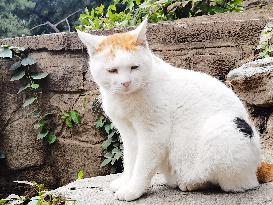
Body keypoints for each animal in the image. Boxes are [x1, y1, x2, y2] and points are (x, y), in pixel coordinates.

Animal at [76, 18, 272, 201]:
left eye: (134, 67)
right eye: (112, 71)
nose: (126, 82)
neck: (125, 100)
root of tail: (258, 164)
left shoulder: (154, 133)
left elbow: (142, 165)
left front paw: (132, 190)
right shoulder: (128, 133)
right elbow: (130, 160)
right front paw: (125, 181)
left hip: (224, 131)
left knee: (238, 184)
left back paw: (191, 183)